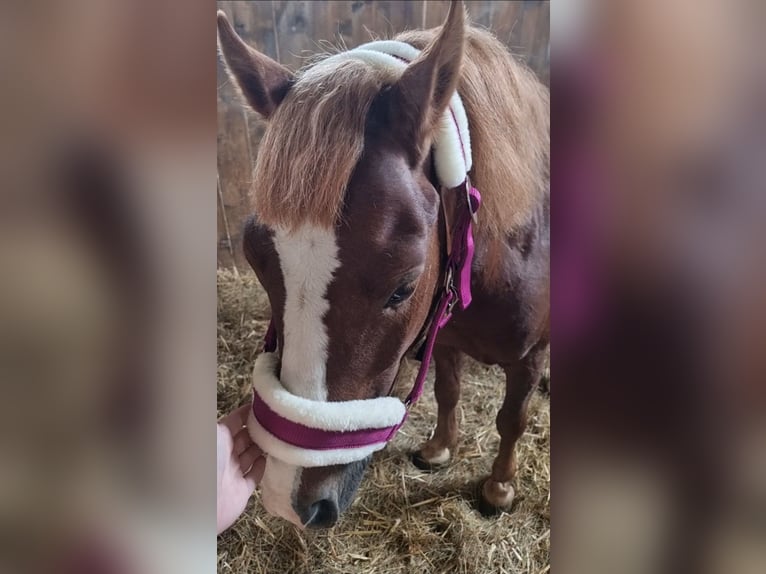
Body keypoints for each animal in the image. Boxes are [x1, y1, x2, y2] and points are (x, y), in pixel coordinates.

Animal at [217, 0, 549, 528]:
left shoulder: (530, 354)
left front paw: (499, 488)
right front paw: (439, 449)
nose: (287, 500)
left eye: (403, 287)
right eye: (257, 261)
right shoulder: (442, 331)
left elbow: (512, 419)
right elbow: (448, 389)